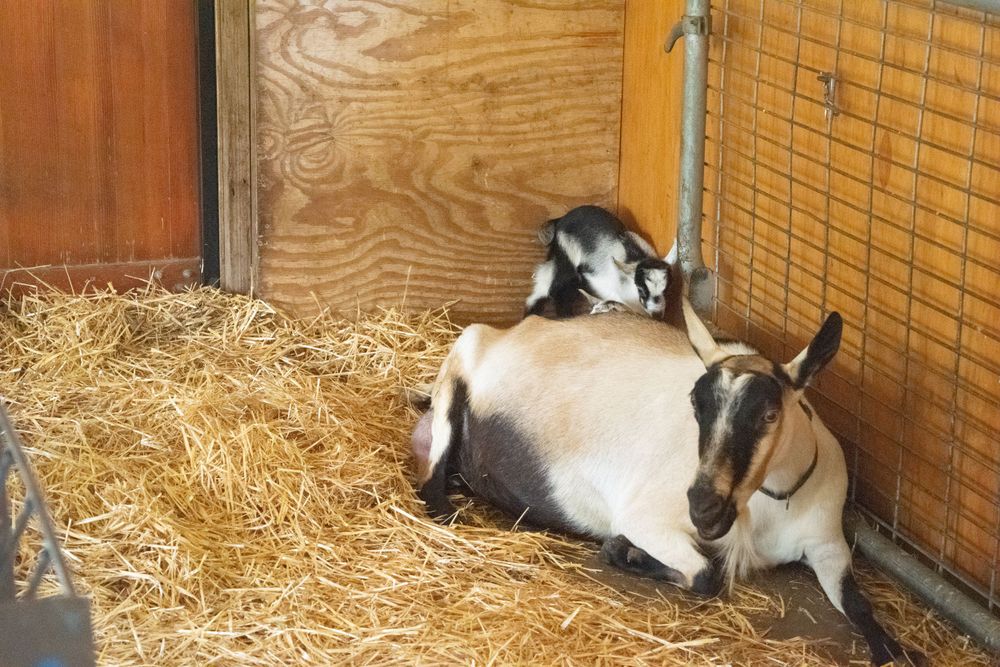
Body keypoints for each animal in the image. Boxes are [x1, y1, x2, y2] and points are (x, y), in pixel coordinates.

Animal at [413, 303, 921, 665]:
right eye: (695, 403)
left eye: (769, 414)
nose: (702, 505)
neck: (771, 507)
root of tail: (517, 331)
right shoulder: (645, 517)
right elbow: (707, 576)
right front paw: (627, 553)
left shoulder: (828, 543)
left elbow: (857, 603)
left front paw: (896, 651)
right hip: (464, 355)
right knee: (431, 475)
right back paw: (446, 508)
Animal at [524, 205, 670, 319]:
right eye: (641, 289)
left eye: (666, 289)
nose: (657, 314)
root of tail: (559, 220)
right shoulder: (598, 282)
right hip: (567, 262)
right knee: (557, 290)